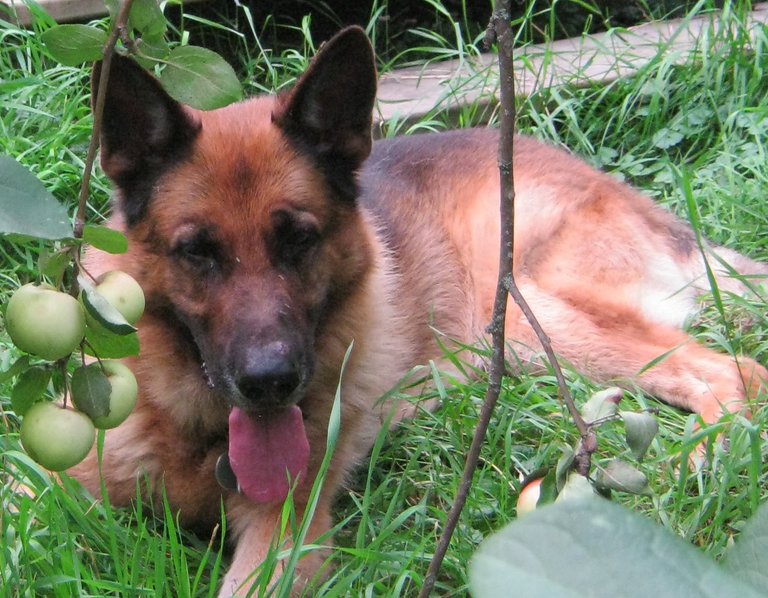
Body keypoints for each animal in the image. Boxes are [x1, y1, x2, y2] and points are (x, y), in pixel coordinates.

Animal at [69, 27, 764, 596]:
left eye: (299, 239)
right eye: (197, 252)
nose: (271, 382)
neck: (197, 434)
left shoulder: (284, 540)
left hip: (531, 313)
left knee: (732, 369)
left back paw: (700, 463)